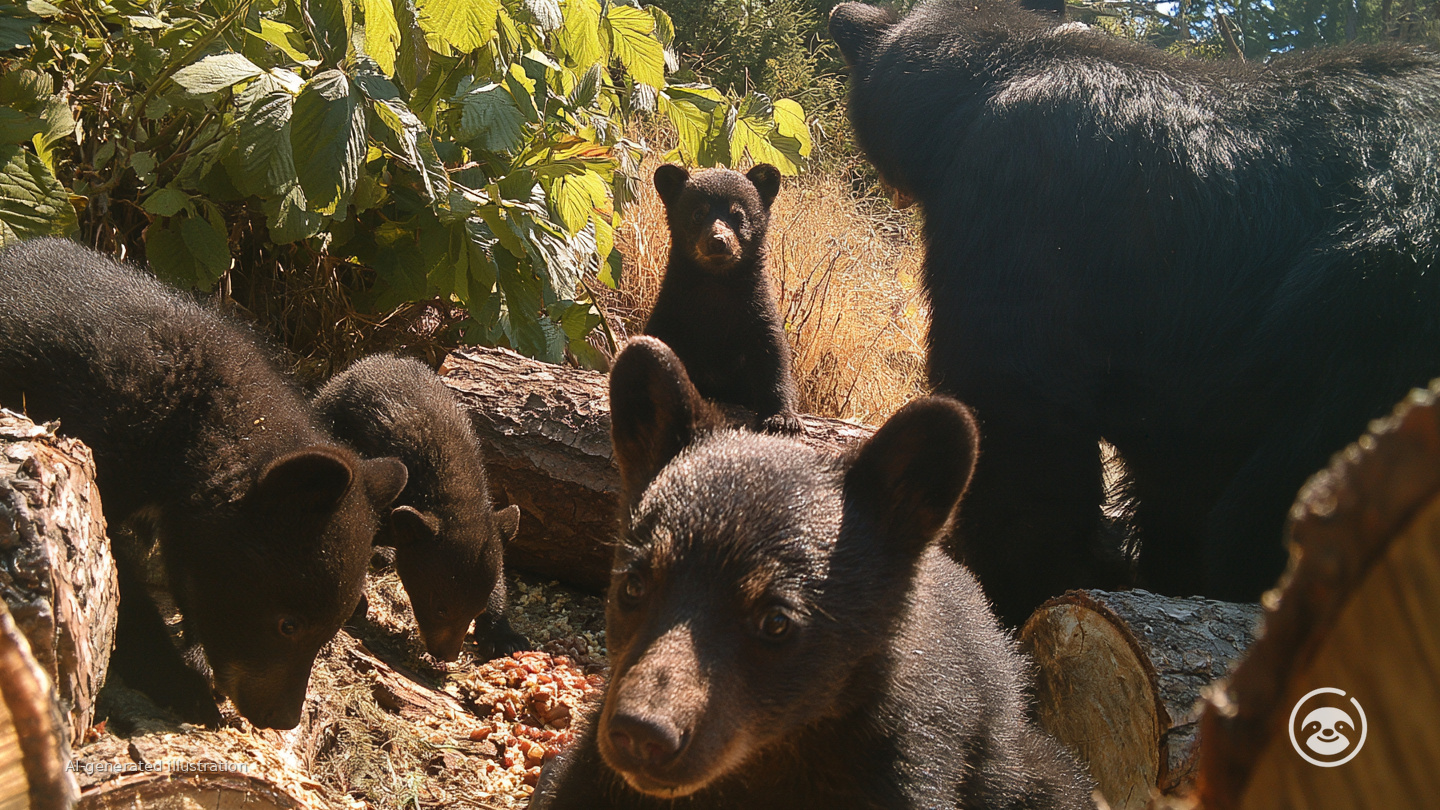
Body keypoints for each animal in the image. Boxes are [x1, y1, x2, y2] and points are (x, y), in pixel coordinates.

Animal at [0, 237, 408, 729]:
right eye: (288, 624)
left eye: (328, 630)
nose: (282, 717)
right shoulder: (100, 435)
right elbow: (118, 575)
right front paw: (179, 680)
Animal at [642, 163, 802, 435]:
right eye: (698, 213)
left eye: (738, 215)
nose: (718, 241)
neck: (715, 284)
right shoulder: (672, 310)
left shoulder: (756, 308)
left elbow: (774, 354)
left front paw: (783, 418)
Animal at [830, 0, 1440, 624]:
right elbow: (1172, 480)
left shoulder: (1020, 199)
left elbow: (1014, 406)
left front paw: (1027, 586)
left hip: (1365, 323)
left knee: (1265, 503)